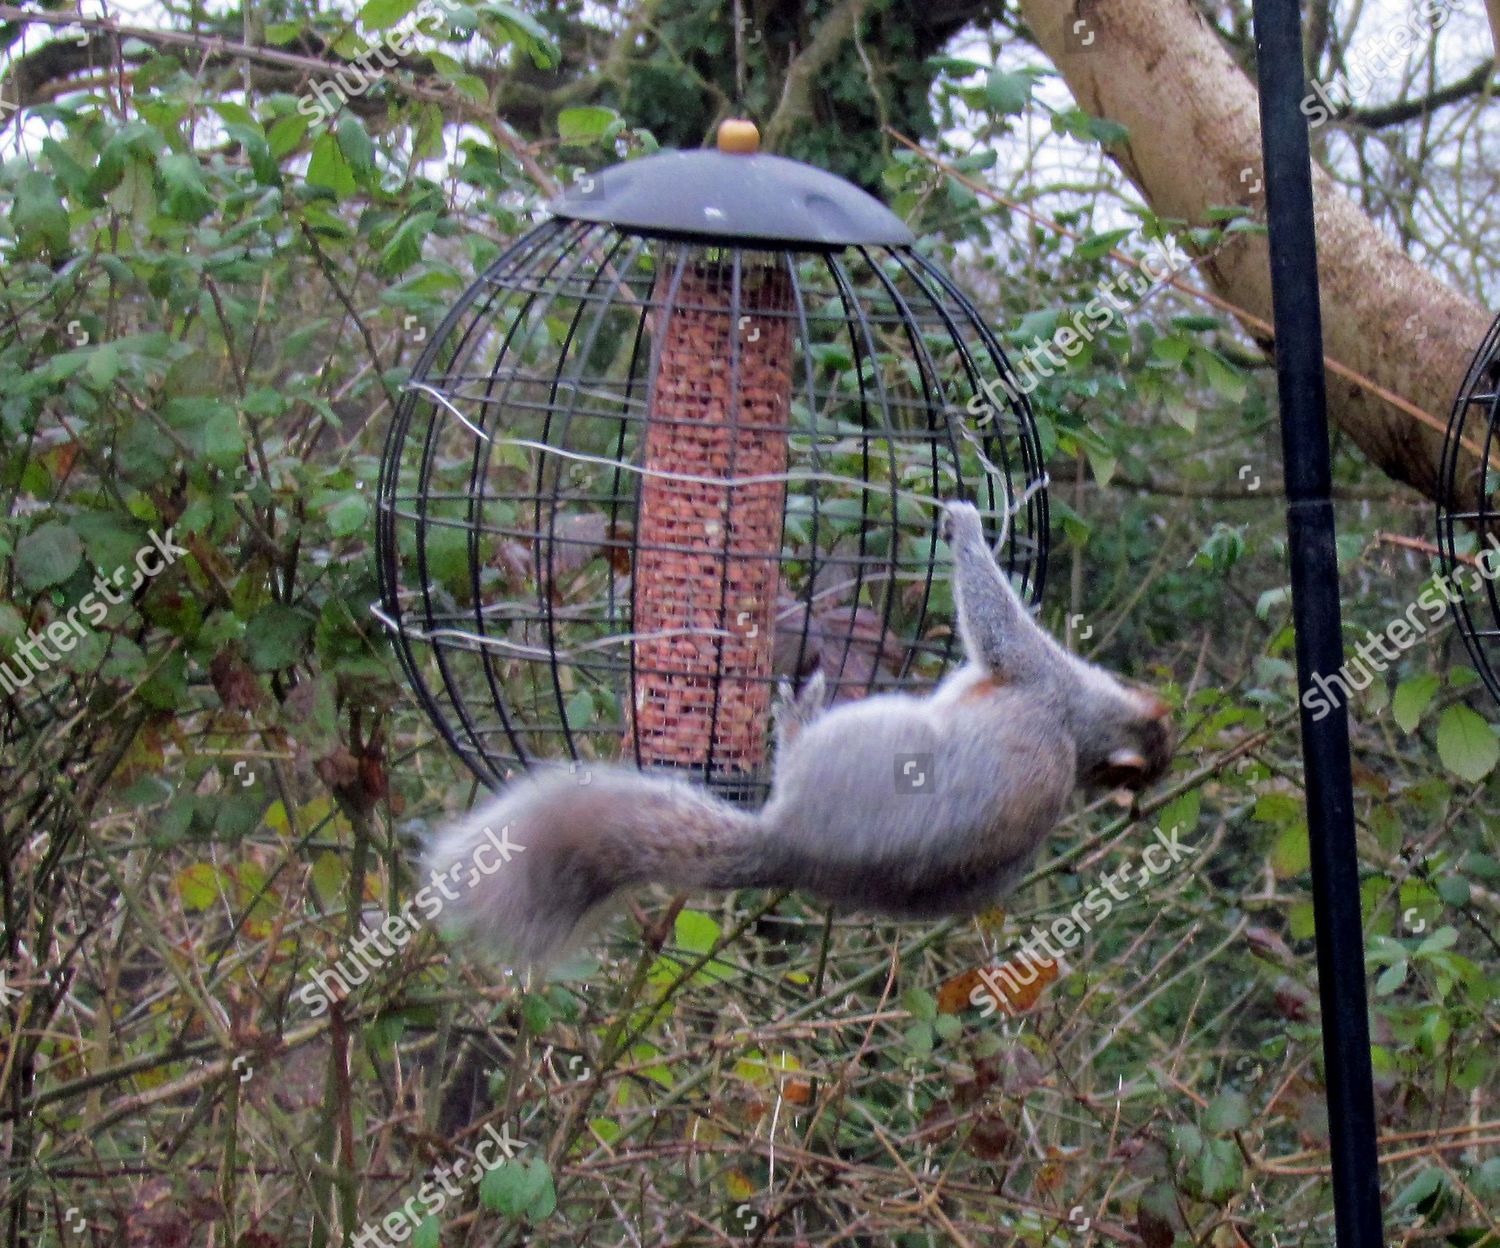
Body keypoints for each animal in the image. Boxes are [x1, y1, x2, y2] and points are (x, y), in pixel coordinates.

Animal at [423, 498, 1170, 966]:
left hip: (867, 734)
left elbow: (996, 620)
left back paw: (797, 717)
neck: (1085, 727)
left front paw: (967, 527)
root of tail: (792, 844)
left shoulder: (1032, 673)